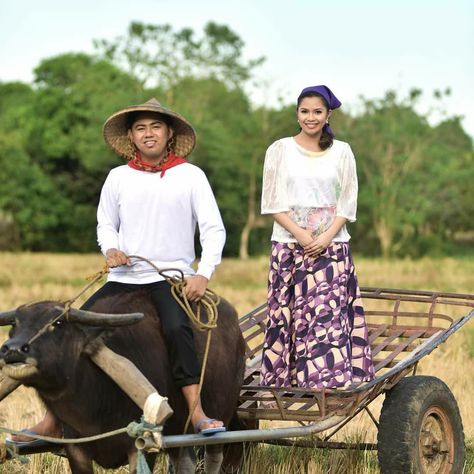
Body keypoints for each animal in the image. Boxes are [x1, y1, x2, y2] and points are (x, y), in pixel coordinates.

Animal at [0, 288, 246, 474]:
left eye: (58, 324)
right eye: (14, 325)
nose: (13, 349)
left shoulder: (143, 447)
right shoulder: (76, 449)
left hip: (222, 414)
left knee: (213, 457)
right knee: (184, 461)